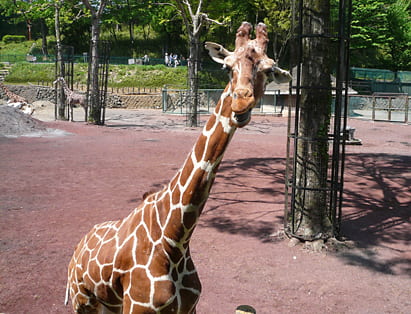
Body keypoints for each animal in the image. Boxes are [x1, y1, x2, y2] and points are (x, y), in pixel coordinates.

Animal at [66, 20, 292, 312]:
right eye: (227, 67)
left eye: (268, 69)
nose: (241, 103)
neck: (174, 238)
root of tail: (79, 245)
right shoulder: (138, 306)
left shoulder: (189, 306)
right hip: (81, 300)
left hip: (108, 305)